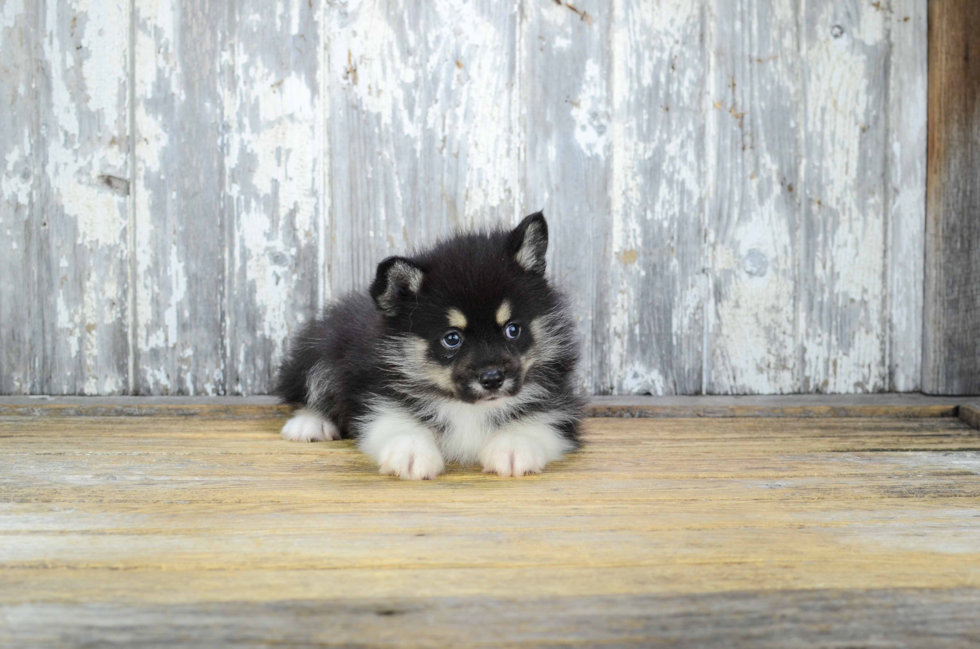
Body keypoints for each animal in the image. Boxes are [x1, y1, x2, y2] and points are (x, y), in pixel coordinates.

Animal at [272, 211, 584, 476]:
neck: (467, 407)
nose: (493, 378)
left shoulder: (559, 404)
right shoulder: (378, 397)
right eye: (452, 338)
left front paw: (513, 448)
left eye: (513, 330)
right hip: (322, 348)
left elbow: (540, 421)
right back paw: (310, 423)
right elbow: (396, 422)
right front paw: (411, 453)